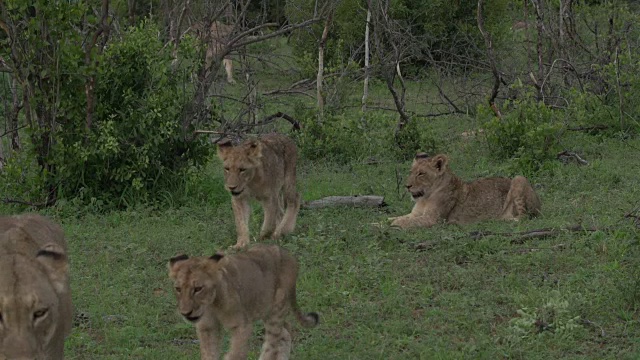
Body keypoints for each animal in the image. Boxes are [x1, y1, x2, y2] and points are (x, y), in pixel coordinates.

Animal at [166, 243, 318, 358]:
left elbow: (236, 353)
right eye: (178, 289)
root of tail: (289, 255)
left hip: (277, 308)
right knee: (285, 331)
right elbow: (209, 354)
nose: (185, 313)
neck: (212, 305)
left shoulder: (242, 325)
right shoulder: (206, 327)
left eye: (198, 288)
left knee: (273, 342)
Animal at [388, 154, 544, 228]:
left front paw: (393, 224)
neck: (425, 198)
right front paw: (384, 222)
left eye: (421, 174)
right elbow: (397, 217)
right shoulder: (415, 213)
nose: (407, 186)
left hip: (519, 178)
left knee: (524, 217)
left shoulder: (433, 219)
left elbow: (406, 222)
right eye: (411, 172)